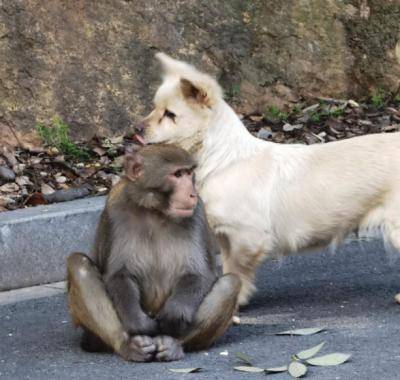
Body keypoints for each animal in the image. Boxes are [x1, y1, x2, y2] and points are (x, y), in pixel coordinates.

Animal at [66, 144, 241, 360]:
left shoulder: (198, 212)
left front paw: (175, 314)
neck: (155, 211)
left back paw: (173, 344)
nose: (192, 193)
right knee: (79, 264)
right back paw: (128, 345)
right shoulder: (115, 211)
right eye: (177, 174)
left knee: (230, 283)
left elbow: (200, 274)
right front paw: (138, 322)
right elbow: (118, 274)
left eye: (189, 173)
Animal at [138, 52, 400, 306]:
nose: (136, 129)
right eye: (154, 108)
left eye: (170, 115)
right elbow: (228, 268)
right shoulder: (226, 239)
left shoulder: (247, 237)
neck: (223, 159)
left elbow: (237, 271)